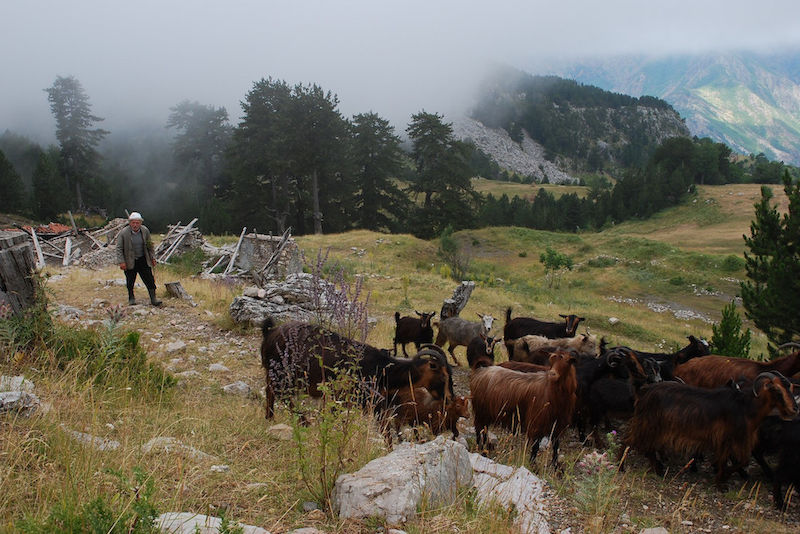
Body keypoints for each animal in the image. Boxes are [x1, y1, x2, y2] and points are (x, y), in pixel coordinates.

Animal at [624, 372, 800, 486]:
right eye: (776, 390)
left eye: (791, 388)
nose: (794, 409)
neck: (747, 407)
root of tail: (644, 391)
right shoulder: (727, 437)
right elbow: (728, 460)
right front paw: (721, 481)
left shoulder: (733, 439)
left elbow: (740, 460)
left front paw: (722, 477)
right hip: (648, 425)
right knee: (633, 442)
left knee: (646, 447)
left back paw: (657, 468)